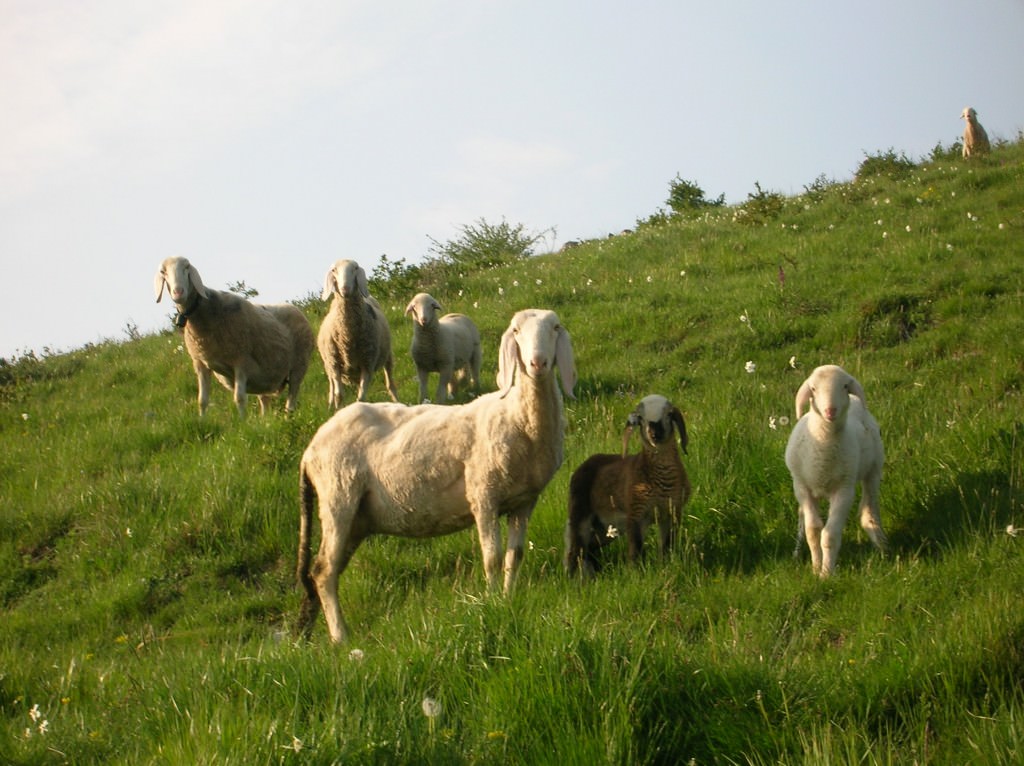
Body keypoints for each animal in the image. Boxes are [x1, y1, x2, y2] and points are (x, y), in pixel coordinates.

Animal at [153, 256, 315, 417]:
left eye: (187, 267)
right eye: (163, 272)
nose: (178, 292)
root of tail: (295, 308)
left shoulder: (241, 360)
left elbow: (240, 398)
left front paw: (242, 421)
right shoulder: (200, 363)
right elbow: (202, 400)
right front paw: (202, 420)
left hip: (298, 365)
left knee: (291, 398)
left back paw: (288, 417)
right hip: (265, 375)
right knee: (264, 399)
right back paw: (265, 420)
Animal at [296, 308, 576, 643]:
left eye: (555, 327)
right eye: (516, 331)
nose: (538, 363)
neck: (516, 416)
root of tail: (310, 449)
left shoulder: (524, 500)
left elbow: (515, 555)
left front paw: (509, 598)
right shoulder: (484, 494)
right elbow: (492, 557)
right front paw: (493, 601)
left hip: (356, 519)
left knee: (324, 571)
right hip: (338, 497)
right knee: (324, 571)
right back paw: (341, 638)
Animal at [317, 259, 399, 409]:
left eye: (355, 268)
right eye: (334, 270)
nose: (345, 289)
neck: (347, 336)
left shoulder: (367, 364)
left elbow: (361, 398)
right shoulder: (334, 364)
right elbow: (339, 395)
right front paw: (338, 410)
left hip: (387, 355)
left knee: (390, 383)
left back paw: (397, 401)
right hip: (328, 365)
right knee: (332, 386)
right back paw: (330, 404)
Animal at [564, 394, 691, 577]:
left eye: (668, 414)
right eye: (641, 419)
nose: (655, 434)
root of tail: (586, 462)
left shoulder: (671, 512)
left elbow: (667, 546)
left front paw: (667, 567)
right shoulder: (636, 515)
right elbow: (635, 549)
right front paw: (636, 574)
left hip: (604, 526)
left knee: (589, 548)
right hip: (580, 514)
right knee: (576, 550)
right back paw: (575, 578)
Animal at [784, 364, 888, 577]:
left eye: (845, 386)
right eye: (813, 389)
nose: (830, 410)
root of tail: (856, 401)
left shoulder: (844, 490)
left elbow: (829, 535)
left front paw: (826, 573)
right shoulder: (802, 488)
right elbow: (813, 530)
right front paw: (815, 568)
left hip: (874, 469)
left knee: (869, 508)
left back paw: (880, 544)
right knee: (802, 516)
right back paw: (797, 551)